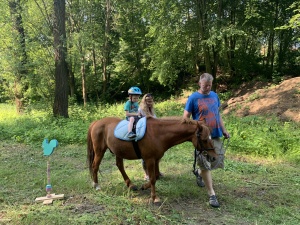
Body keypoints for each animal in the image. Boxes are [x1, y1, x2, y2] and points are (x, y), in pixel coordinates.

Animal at [86, 116, 216, 204]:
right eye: (204, 139)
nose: (213, 157)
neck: (158, 133)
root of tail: (96, 122)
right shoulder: (149, 159)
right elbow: (153, 178)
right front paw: (154, 197)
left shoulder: (156, 159)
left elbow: (156, 176)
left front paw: (144, 186)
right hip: (100, 151)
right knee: (95, 166)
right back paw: (96, 185)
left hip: (118, 151)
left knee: (119, 165)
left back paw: (131, 185)